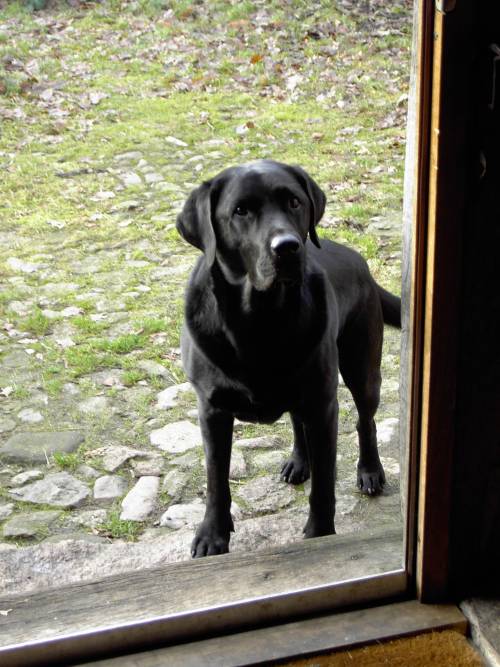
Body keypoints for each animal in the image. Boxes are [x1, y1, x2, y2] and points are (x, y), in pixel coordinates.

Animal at [176, 160, 401, 558]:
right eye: (240, 210)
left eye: (294, 202)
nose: (288, 247)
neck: (260, 320)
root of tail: (359, 260)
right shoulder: (211, 410)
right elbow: (216, 478)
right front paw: (212, 535)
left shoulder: (324, 406)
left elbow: (324, 485)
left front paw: (320, 535)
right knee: (297, 421)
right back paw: (299, 461)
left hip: (361, 369)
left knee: (366, 421)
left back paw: (370, 470)